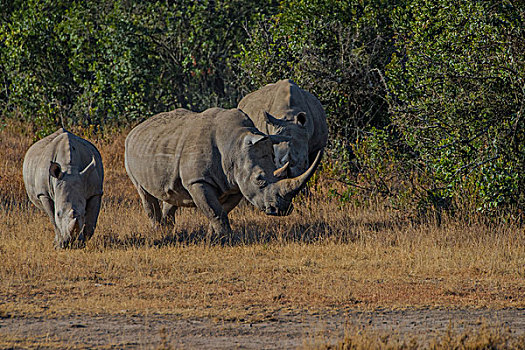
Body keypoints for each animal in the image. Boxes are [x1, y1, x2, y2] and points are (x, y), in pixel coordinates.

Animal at [125, 106, 322, 241]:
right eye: (259, 179)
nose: (281, 210)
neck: (235, 146)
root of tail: (137, 128)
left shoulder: (235, 184)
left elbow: (221, 210)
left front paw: (214, 236)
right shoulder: (198, 181)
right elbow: (214, 210)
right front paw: (227, 239)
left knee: (173, 194)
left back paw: (166, 229)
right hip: (129, 150)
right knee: (144, 193)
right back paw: (157, 232)